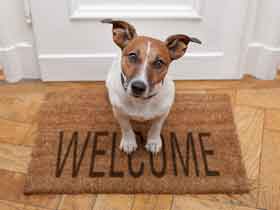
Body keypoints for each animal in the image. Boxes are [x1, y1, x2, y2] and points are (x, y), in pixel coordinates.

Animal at [103, 19, 201, 154]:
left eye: (159, 62)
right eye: (132, 56)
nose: (138, 87)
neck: (141, 102)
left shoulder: (163, 113)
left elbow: (156, 127)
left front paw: (153, 142)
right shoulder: (119, 113)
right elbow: (126, 127)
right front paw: (129, 142)